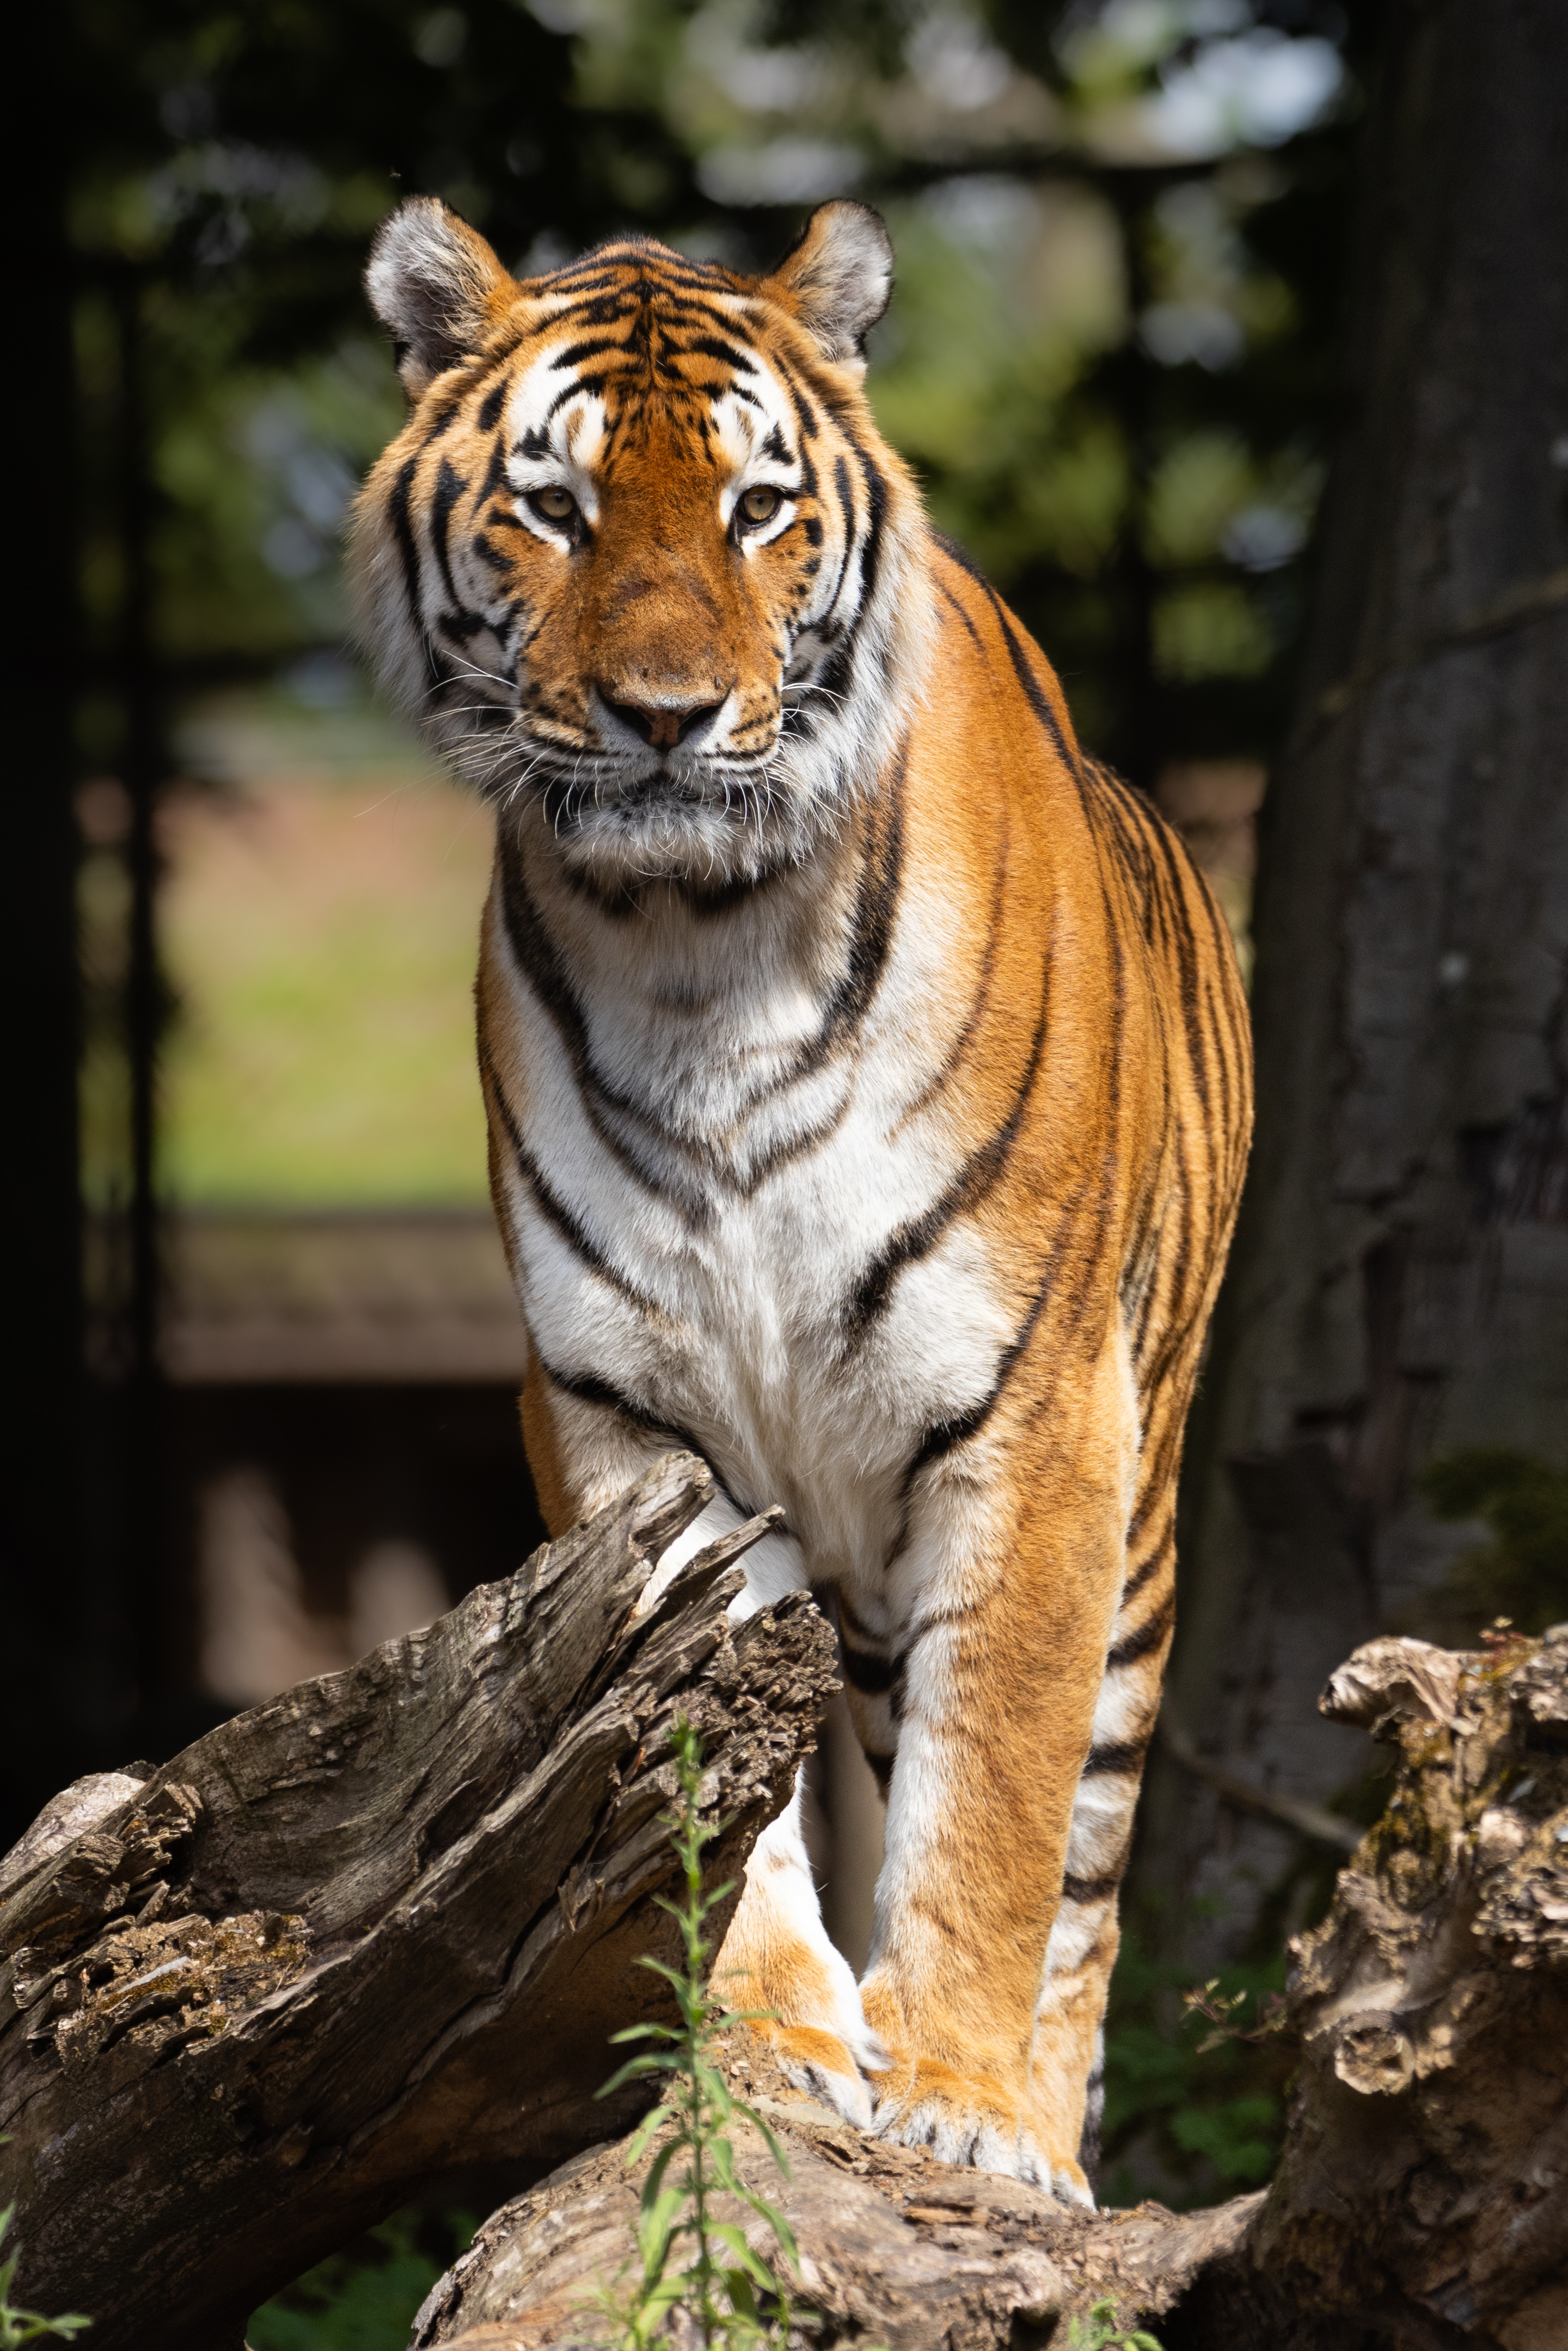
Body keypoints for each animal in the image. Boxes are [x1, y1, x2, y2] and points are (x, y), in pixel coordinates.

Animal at [349, 193, 1252, 2205]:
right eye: (555, 506)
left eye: (759, 507)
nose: (668, 718)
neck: (697, 944)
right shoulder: (627, 1425)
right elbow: (701, 1782)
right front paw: (770, 2050)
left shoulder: (1037, 1415)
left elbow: (994, 1797)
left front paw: (962, 2103)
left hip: (1143, 1523)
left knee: (1086, 1861)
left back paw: (1049, 2133)